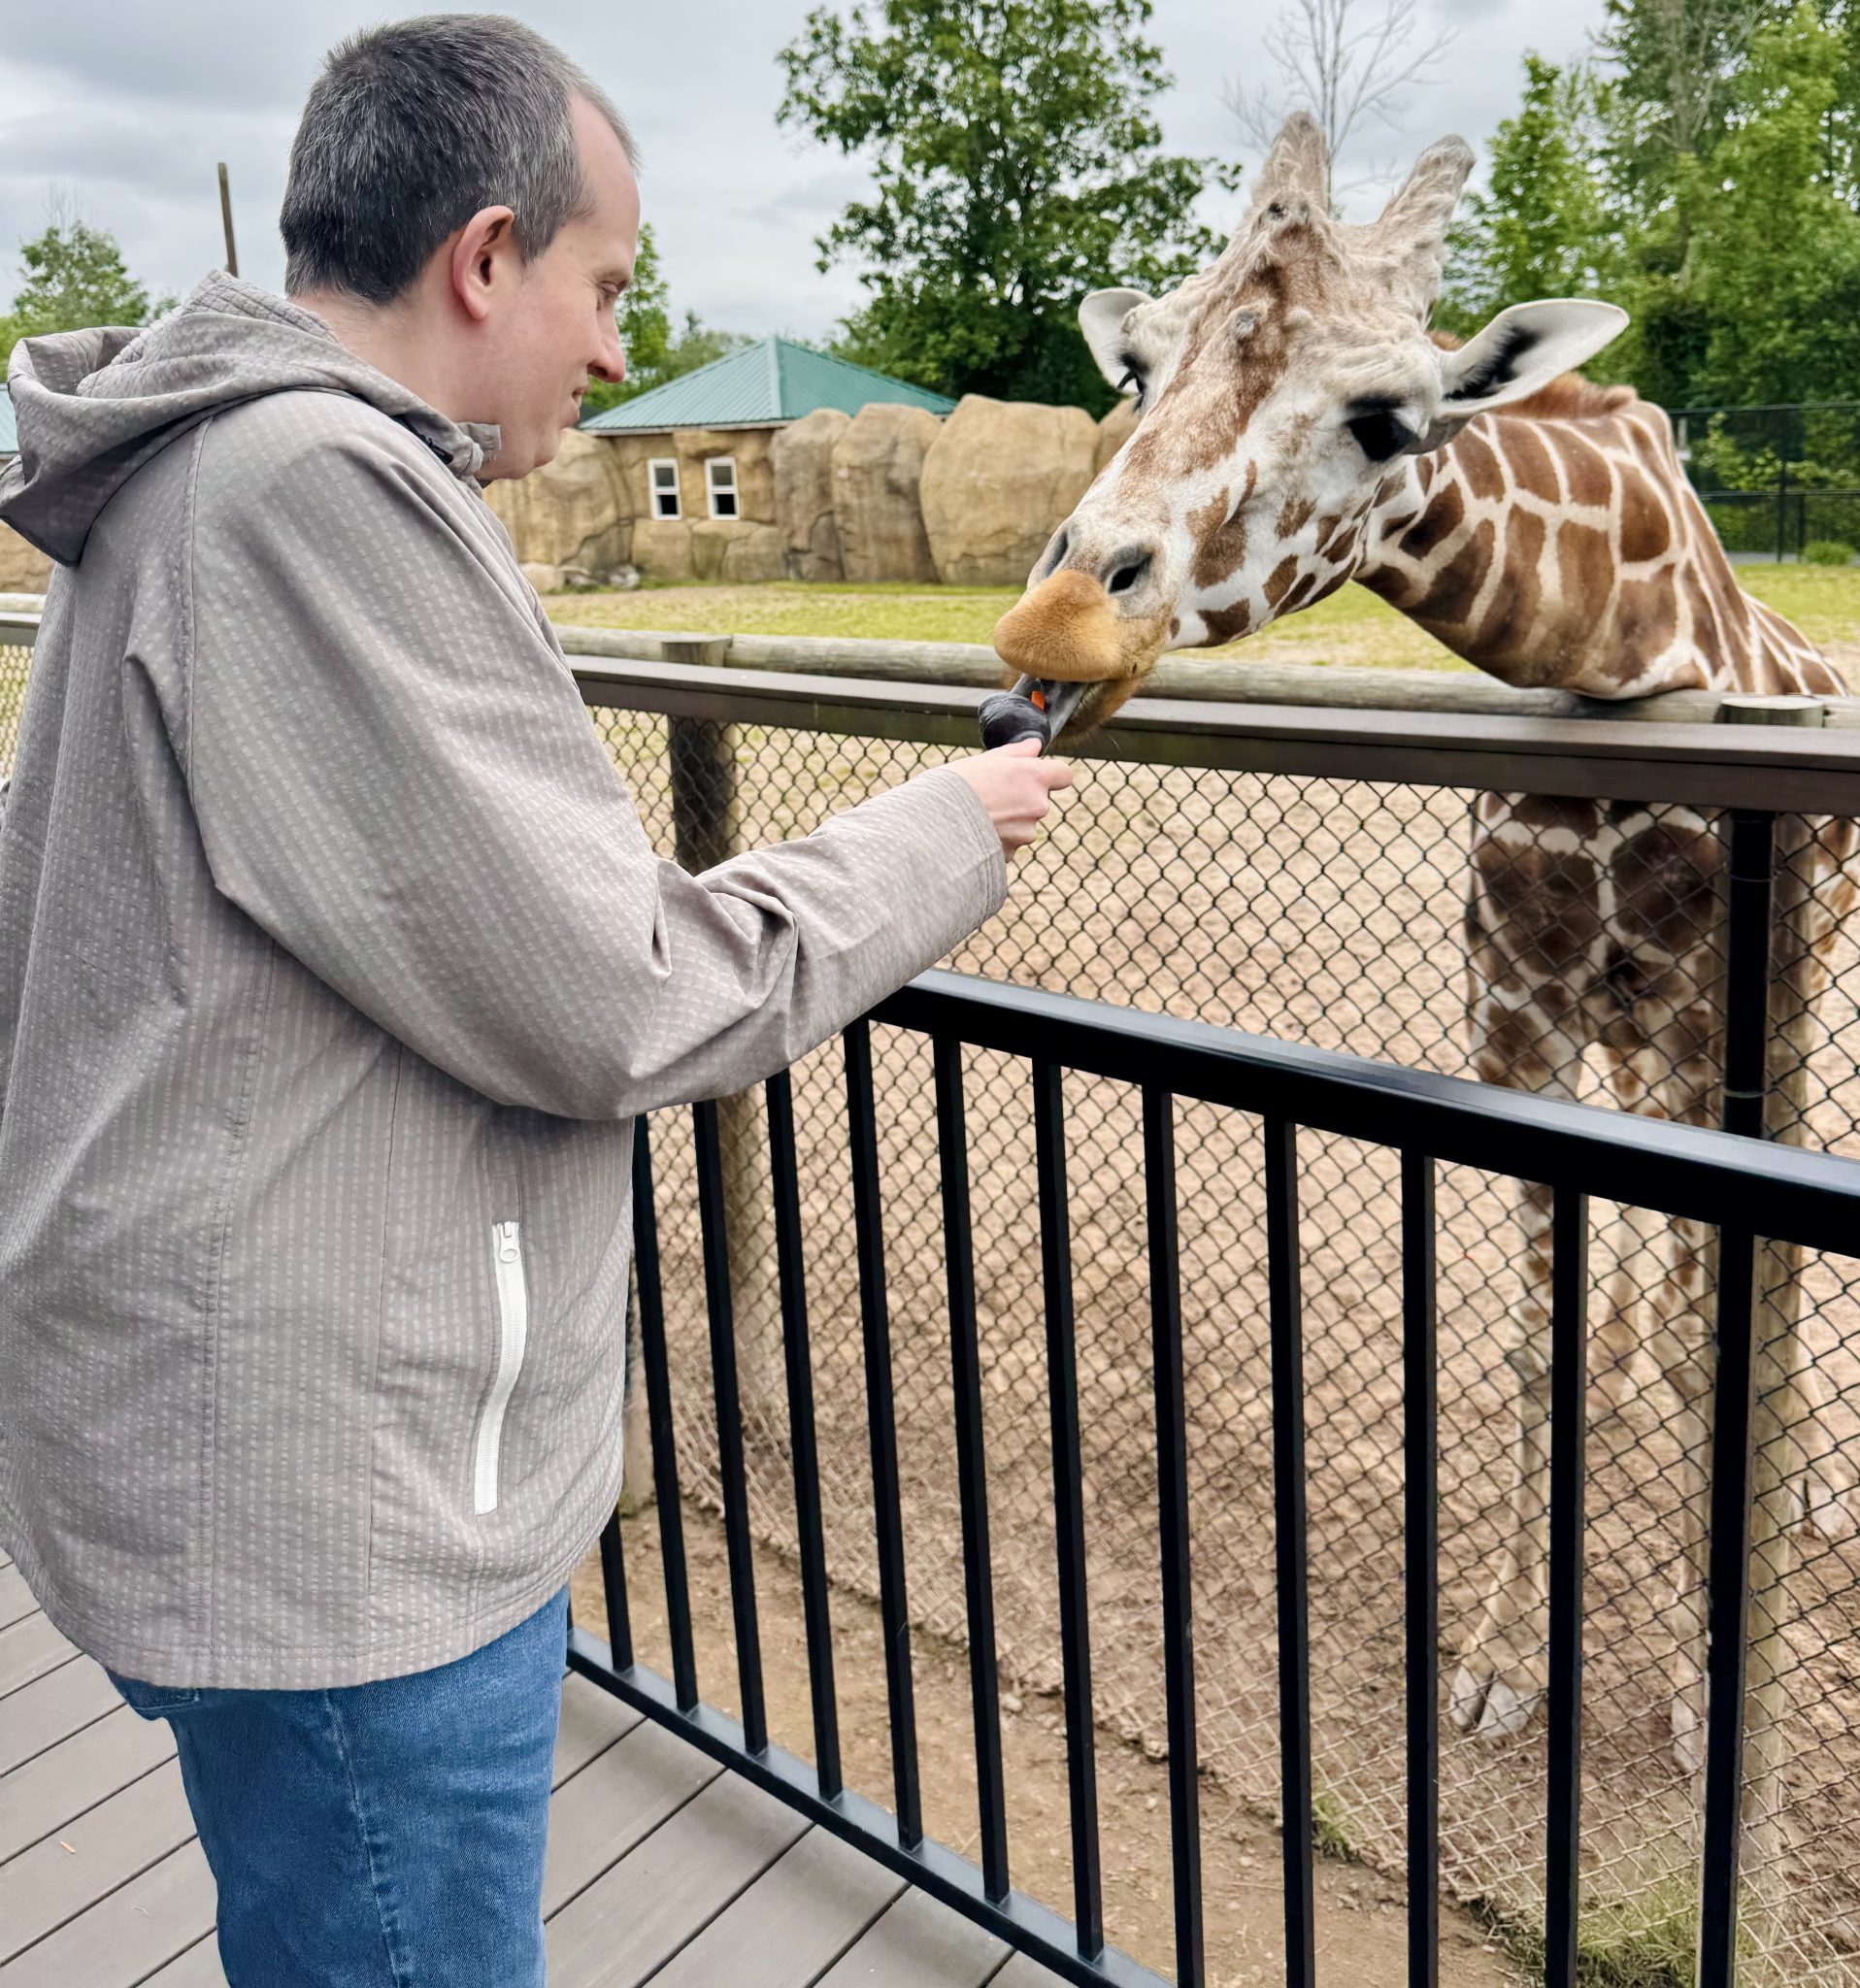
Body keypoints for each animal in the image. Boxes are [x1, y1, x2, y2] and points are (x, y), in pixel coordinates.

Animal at [994, 111, 1857, 1786]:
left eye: (1389, 420)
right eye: (1138, 371)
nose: (1061, 616)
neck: (1628, 655)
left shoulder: (1706, 1025)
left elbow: (1722, 1320)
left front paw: (1703, 1689)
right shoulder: (1519, 1017)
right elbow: (1539, 1346)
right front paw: (1500, 1664)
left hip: (1779, 1002)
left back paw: (1784, 1481)